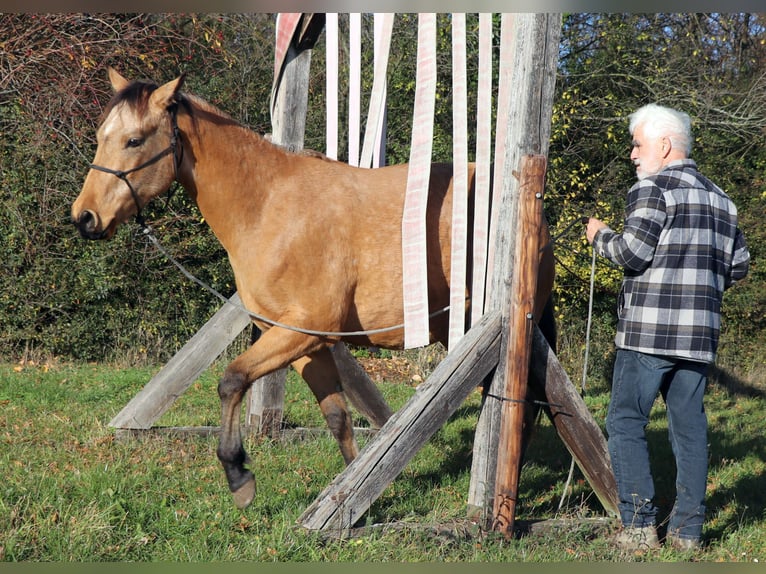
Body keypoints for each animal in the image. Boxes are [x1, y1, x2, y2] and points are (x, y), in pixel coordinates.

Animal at [72, 68, 556, 510]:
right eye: (100, 136)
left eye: (135, 140)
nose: (84, 218)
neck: (269, 207)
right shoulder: (303, 340)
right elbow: (337, 417)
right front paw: (351, 493)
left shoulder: (303, 328)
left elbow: (232, 380)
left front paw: (237, 473)